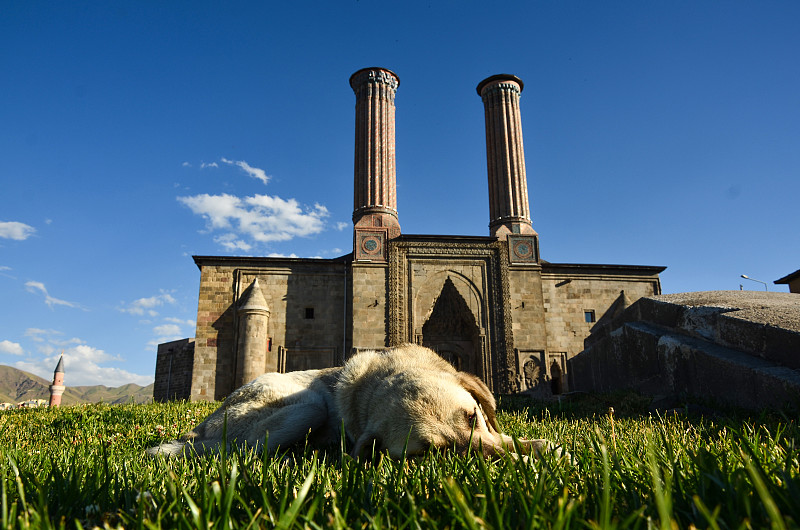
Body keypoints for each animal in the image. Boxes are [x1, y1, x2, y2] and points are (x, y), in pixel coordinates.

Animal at [147, 342, 552, 458]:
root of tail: (198, 429)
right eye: (430, 454)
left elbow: (507, 436)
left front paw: (539, 445)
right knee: (240, 452)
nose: (506, 467)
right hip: (306, 408)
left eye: (472, 417)